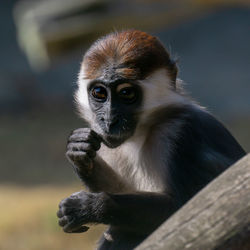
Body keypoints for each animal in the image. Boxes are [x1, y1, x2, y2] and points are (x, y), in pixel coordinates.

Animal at [56, 30, 246, 249]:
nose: (109, 120)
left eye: (126, 93)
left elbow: (186, 211)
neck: (145, 130)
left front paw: (92, 207)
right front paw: (78, 150)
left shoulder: (179, 133)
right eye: (99, 93)